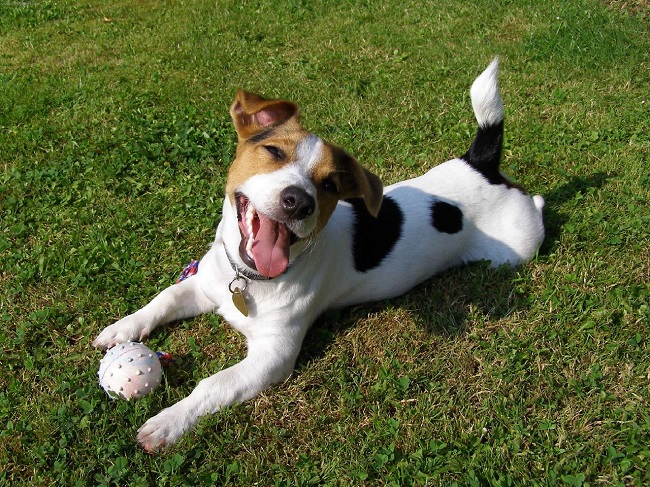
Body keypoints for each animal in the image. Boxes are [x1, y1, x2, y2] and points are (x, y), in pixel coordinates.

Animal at [93, 58, 544, 454]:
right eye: (273, 152)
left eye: (329, 185)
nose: (299, 201)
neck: (248, 281)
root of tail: (480, 165)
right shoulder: (204, 287)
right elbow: (163, 299)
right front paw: (121, 329)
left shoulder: (272, 358)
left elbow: (213, 384)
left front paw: (168, 422)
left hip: (518, 246)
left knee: (536, 206)